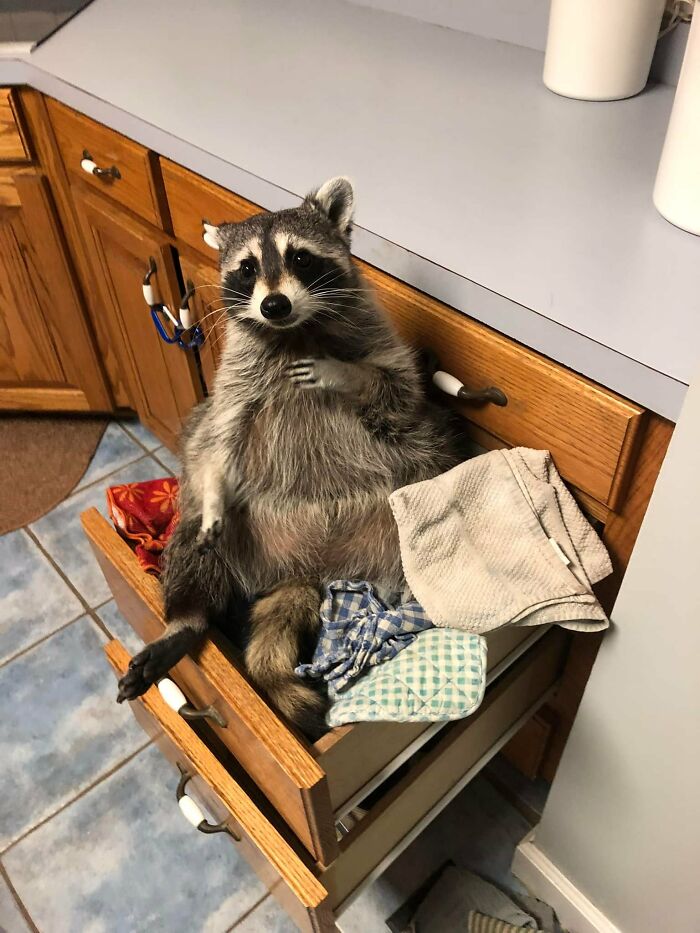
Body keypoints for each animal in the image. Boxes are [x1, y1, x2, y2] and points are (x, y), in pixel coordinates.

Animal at [116, 177, 459, 738]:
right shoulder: (232, 386)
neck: (292, 330)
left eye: (300, 257)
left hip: (404, 490)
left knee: (433, 465)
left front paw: (346, 375)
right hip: (236, 534)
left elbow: (400, 395)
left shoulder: (382, 348)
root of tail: (308, 567)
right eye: (247, 268)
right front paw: (214, 487)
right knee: (190, 540)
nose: (274, 305)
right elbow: (213, 442)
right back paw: (185, 620)